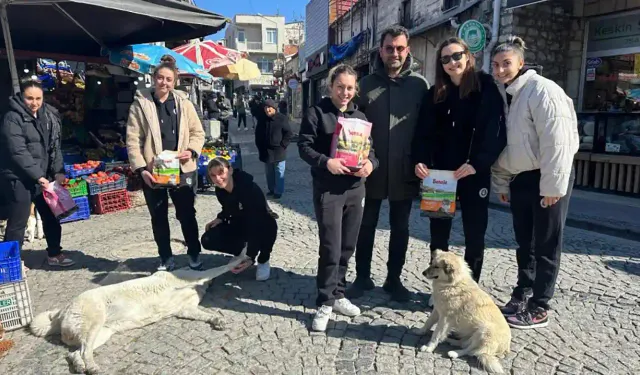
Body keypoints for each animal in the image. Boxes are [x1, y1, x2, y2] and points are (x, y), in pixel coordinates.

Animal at [31, 251, 249, 374]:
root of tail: (60, 313)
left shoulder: (186, 309)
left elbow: (204, 314)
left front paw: (217, 319)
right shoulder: (194, 278)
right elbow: (218, 269)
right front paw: (239, 259)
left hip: (102, 333)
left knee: (76, 353)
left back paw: (81, 366)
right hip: (95, 323)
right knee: (84, 351)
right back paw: (91, 367)